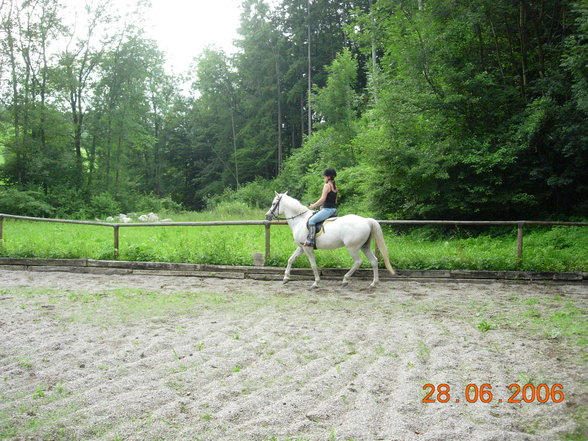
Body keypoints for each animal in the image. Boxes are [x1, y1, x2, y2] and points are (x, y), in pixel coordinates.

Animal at [266, 191, 396, 288]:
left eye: (273, 203)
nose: (267, 215)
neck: (300, 220)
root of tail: (366, 220)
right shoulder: (301, 247)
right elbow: (290, 260)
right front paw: (285, 278)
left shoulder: (307, 248)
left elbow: (313, 265)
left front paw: (316, 282)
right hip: (364, 246)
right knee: (374, 261)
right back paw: (374, 283)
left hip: (352, 247)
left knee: (358, 262)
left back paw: (345, 280)